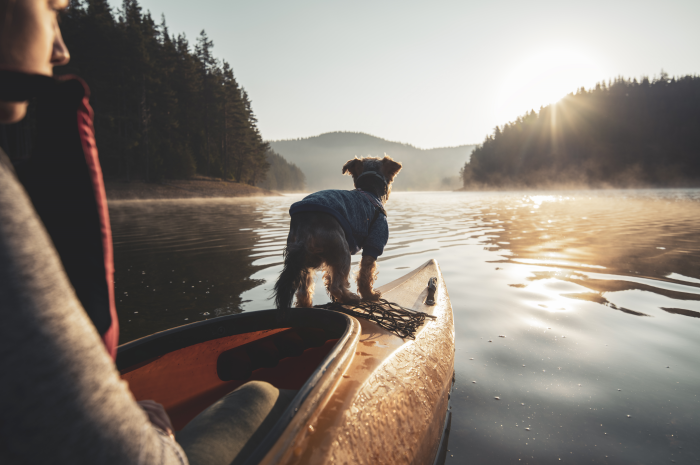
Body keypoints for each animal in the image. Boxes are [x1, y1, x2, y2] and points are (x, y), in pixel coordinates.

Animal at [274, 156, 404, 308]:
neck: (369, 190)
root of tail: (304, 225)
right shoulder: (374, 242)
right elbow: (366, 273)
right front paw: (369, 295)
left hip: (306, 261)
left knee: (303, 291)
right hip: (342, 251)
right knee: (335, 286)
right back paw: (350, 298)